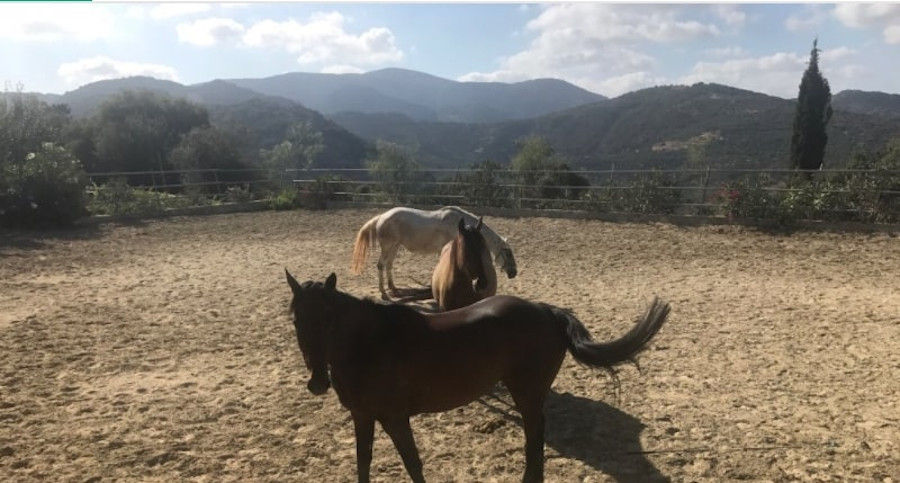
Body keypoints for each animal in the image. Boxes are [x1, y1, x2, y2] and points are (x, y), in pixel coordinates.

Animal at [284, 270, 672, 482]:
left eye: (329, 318)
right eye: (296, 319)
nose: (317, 383)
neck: (370, 343)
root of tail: (547, 311)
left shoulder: (395, 418)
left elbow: (412, 463)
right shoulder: (362, 416)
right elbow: (363, 461)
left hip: (527, 393)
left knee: (535, 439)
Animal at [354, 205, 516, 298]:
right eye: (508, 253)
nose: (513, 273)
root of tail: (381, 217)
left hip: (395, 247)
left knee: (389, 265)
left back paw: (393, 289)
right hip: (388, 247)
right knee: (381, 265)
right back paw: (383, 291)